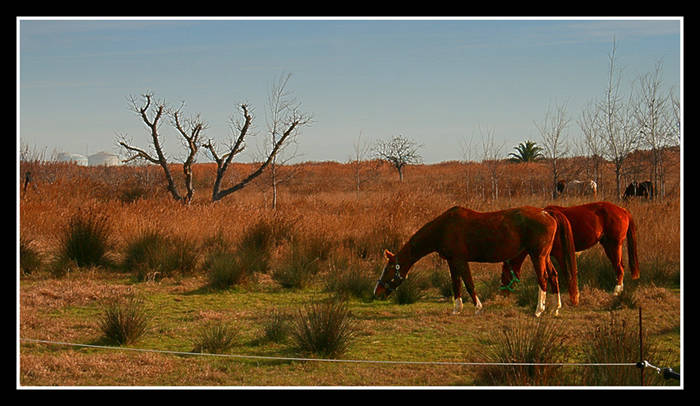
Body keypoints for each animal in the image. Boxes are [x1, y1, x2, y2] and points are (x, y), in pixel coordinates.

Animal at [373, 206, 578, 317]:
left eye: (388, 269)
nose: (377, 292)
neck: (444, 228)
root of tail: (547, 213)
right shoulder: (452, 262)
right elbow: (456, 284)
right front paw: (457, 309)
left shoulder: (460, 260)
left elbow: (469, 283)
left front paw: (478, 307)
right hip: (545, 256)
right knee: (554, 276)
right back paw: (555, 308)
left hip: (537, 256)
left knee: (543, 279)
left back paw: (538, 310)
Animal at [500, 201, 639, 297]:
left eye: (505, 271)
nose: (503, 291)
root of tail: (623, 210)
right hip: (610, 246)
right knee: (620, 266)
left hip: (613, 245)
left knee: (619, 267)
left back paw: (616, 291)